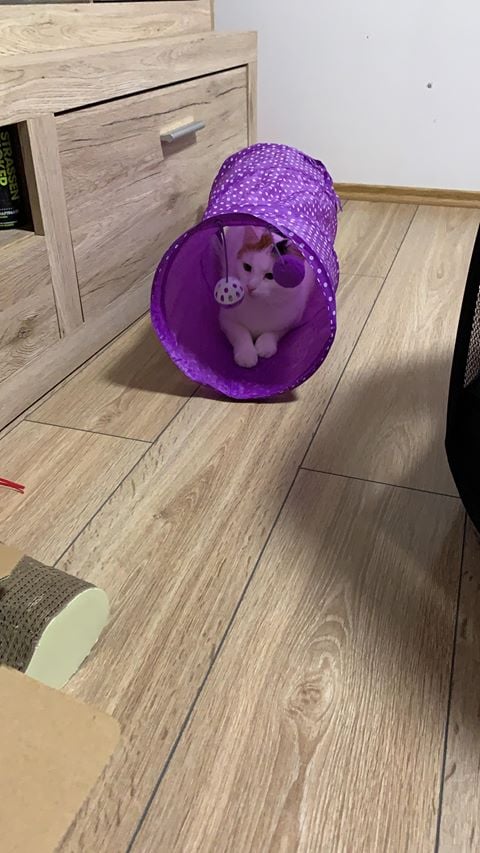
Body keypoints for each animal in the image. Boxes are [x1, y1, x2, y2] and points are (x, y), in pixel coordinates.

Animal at [217, 225, 314, 368]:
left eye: (270, 276)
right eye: (247, 267)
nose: (250, 287)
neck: (261, 304)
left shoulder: (292, 320)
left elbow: (274, 332)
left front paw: (265, 345)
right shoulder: (226, 318)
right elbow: (241, 332)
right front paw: (247, 354)